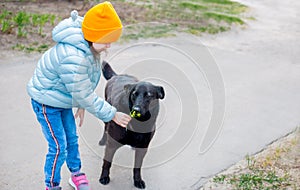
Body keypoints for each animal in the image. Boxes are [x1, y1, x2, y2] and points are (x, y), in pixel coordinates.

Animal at [98, 61, 164, 189]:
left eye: (149, 95)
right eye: (134, 94)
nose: (136, 109)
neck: (139, 125)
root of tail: (116, 75)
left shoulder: (143, 148)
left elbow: (137, 167)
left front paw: (137, 180)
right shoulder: (111, 145)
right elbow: (107, 163)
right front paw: (104, 177)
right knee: (105, 127)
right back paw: (103, 139)